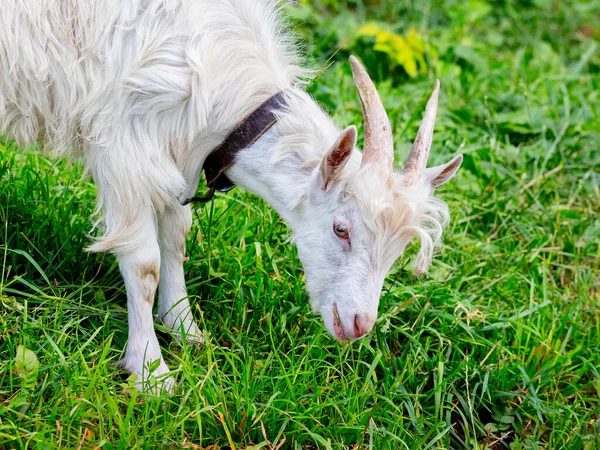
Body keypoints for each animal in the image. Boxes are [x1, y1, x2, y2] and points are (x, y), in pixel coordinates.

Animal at [0, 0, 462, 390]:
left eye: (398, 250)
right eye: (341, 229)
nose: (358, 324)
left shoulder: (177, 151)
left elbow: (176, 239)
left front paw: (185, 329)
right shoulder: (124, 153)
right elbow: (144, 265)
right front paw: (151, 373)